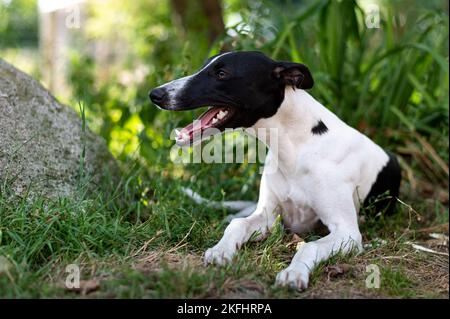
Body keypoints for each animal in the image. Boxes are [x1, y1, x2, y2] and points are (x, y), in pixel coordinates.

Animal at [149, 51, 402, 292]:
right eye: (205, 66)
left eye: (221, 74)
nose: (155, 94)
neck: (297, 145)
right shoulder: (269, 216)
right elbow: (238, 224)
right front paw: (221, 250)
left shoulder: (347, 232)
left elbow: (308, 247)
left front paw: (293, 273)